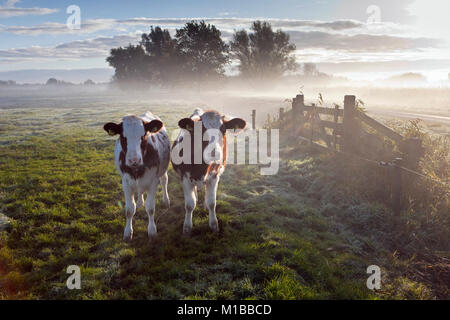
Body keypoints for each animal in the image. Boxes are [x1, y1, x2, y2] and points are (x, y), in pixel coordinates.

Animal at [103, 112, 171, 240]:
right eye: (123, 137)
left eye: (143, 135)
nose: (134, 160)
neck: (136, 169)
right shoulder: (125, 183)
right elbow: (129, 209)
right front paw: (128, 232)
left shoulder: (153, 182)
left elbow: (150, 208)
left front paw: (152, 230)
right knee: (140, 191)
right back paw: (140, 202)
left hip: (162, 171)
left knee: (164, 181)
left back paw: (166, 200)